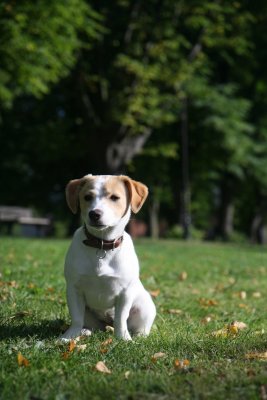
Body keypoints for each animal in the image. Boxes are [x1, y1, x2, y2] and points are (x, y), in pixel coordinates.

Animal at [60, 173, 157, 340]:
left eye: (114, 197)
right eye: (87, 197)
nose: (94, 213)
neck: (102, 244)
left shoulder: (125, 293)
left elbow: (121, 318)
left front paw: (123, 338)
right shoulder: (74, 289)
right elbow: (76, 318)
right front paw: (69, 336)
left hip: (144, 308)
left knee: (136, 325)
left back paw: (138, 335)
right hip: (89, 312)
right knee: (91, 324)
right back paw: (85, 331)